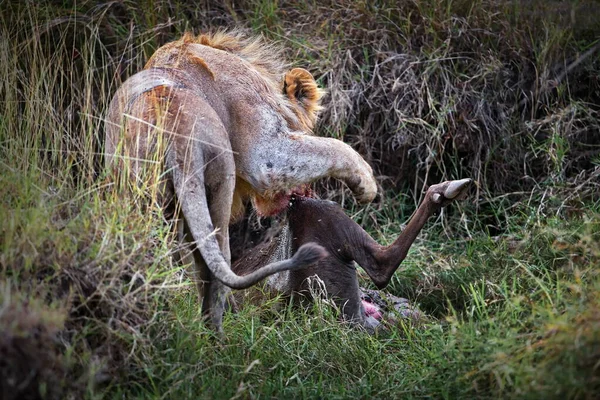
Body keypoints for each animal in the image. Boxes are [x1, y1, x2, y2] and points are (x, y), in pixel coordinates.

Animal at [103, 30, 376, 332]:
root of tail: (176, 131)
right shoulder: (265, 151)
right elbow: (332, 148)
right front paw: (367, 184)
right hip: (221, 182)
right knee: (216, 261)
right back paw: (223, 327)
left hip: (140, 193)